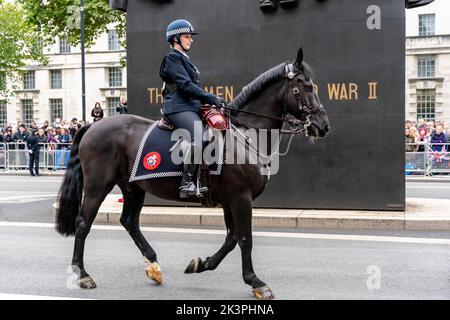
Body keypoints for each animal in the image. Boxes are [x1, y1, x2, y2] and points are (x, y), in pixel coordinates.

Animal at [56, 47, 330, 300]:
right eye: (306, 86)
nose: (323, 126)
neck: (245, 135)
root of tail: (92, 126)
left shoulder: (229, 200)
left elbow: (231, 239)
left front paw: (201, 264)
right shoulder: (240, 198)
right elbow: (245, 239)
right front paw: (255, 282)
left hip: (133, 187)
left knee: (129, 221)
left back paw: (154, 266)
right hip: (98, 185)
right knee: (83, 223)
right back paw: (82, 274)